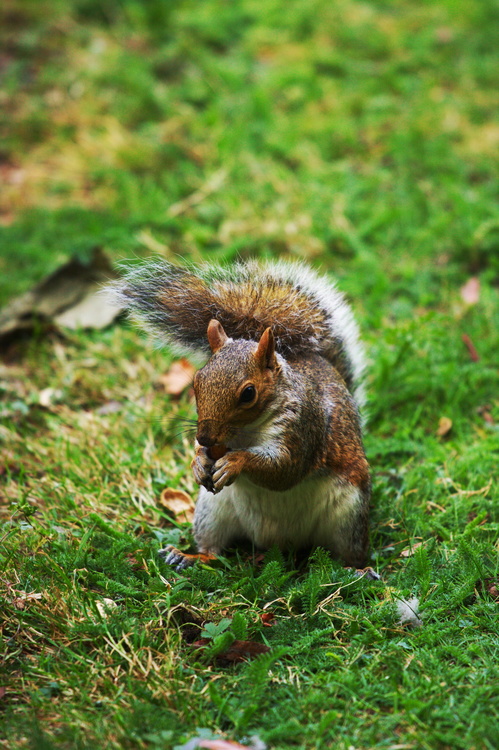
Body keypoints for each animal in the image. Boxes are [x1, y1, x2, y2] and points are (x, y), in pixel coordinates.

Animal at [110, 259, 371, 569]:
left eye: (248, 393)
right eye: (197, 382)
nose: (206, 438)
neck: (246, 432)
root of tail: (278, 545)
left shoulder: (303, 428)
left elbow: (285, 470)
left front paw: (235, 462)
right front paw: (198, 461)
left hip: (349, 515)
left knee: (348, 553)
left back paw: (358, 571)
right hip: (212, 512)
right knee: (213, 550)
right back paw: (187, 556)